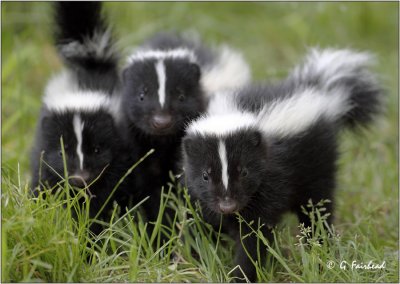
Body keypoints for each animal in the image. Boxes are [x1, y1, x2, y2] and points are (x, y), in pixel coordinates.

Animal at [30, 1, 138, 234]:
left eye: (97, 150)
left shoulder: (121, 154)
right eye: (62, 152)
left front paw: (92, 226)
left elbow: (107, 195)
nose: (81, 178)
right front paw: (38, 212)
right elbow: (43, 182)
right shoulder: (42, 155)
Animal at [119, 32, 250, 229]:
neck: (163, 142)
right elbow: (149, 188)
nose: (162, 122)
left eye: (181, 96)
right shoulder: (139, 146)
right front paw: (158, 226)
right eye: (141, 95)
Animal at [181, 48, 384, 282]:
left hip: (317, 163)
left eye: (244, 172)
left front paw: (242, 274)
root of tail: (318, 89)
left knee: (317, 208)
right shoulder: (200, 195)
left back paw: (319, 246)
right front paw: (197, 256)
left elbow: (254, 235)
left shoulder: (271, 181)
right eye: (205, 175)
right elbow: (200, 220)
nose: (227, 205)